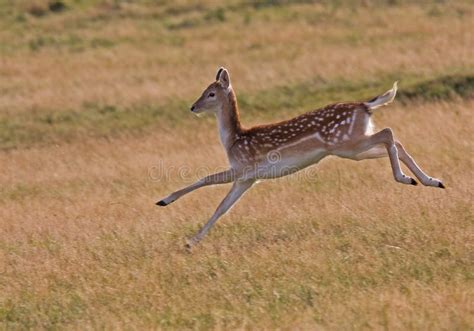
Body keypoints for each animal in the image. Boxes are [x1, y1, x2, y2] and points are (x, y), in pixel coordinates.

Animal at [158, 68, 444, 249]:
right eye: (204, 89)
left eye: (211, 93)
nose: (193, 107)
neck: (234, 140)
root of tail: (364, 105)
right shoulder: (247, 179)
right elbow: (221, 207)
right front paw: (191, 241)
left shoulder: (243, 169)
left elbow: (207, 181)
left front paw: (164, 201)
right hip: (351, 148)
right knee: (394, 141)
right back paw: (431, 181)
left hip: (347, 141)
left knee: (388, 133)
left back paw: (405, 178)